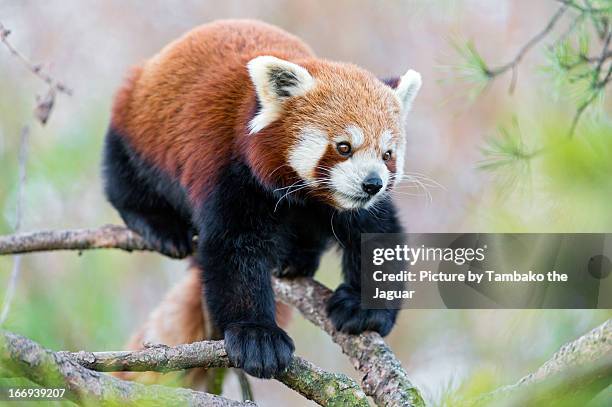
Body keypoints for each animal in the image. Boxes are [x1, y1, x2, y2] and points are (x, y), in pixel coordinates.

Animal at [104, 19, 420, 380]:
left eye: (387, 155)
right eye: (344, 147)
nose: (372, 184)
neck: (304, 194)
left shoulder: (349, 205)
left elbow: (378, 233)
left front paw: (365, 308)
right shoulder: (233, 171)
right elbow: (235, 248)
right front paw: (257, 336)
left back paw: (296, 258)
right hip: (135, 126)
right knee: (124, 177)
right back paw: (159, 226)